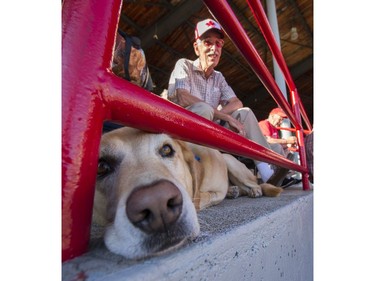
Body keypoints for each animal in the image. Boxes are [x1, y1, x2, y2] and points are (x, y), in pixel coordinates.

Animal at [93, 126, 282, 258]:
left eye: (167, 149)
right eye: (101, 167)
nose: (157, 204)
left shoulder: (211, 193)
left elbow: (202, 198)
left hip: (230, 161)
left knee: (253, 183)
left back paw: (253, 190)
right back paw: (234, 191)